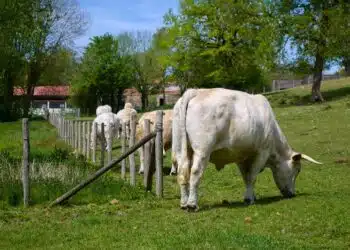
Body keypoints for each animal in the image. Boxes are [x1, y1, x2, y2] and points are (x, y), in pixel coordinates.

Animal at [172, 87, 322, 211]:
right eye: (297, 170)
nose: (292, 194)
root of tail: (196, 91)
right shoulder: (262, 152)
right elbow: (252, 176)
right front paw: (249, 199)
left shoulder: (241, 156)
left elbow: (246, 177)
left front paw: (251, 195)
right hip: (203, 150)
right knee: (195, 172)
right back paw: (192, 204)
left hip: (181, 148)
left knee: (182, 172)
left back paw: (184, 203)